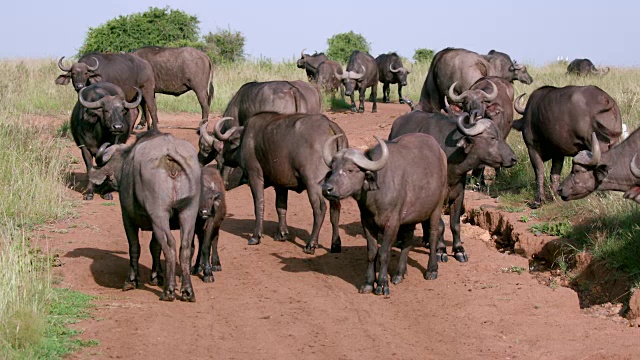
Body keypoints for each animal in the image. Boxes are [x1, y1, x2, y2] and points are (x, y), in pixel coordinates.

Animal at [89, 131, 200, 302]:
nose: (97, 189)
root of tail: (170, 154)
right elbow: (155, 246)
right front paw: (156, 276)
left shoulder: (127, 218)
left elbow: (135, 247)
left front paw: (131, 280)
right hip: (188, 211)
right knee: (186, 246)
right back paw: (187, 291)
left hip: (159, 214)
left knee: (170, 245)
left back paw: (168, 290)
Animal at [205, 114, 344, 255]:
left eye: (227, 142)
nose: (220, 155)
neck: (246, 139)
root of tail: (328, 124)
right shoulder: (281, 184)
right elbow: (280, 206)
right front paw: (281, 234)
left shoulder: (254, 176)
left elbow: (259, 204)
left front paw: (256, 237)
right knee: (335, 210)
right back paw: (335, 245)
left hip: (313, 185)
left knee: (320, 209)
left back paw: (310, 245)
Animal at [322, 134, 448, 296]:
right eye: (333, 169)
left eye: (350, 170)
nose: (327, 189)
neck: (376, 194)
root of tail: (441, 153)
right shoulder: (367, 222)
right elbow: (371, 253)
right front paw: (368, 283)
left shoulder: (392, 224)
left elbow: (383, 253)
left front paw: (382, 284)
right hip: (410, 218)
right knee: (407, 240)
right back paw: (399, 274)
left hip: (436, 208)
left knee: (433, 234)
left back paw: (432, 270)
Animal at [388, 111, 516, 260]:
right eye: (492, 137)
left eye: (501, 136)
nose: (514, 158)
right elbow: (440, 225)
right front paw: (441, 250)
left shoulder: (459, 195)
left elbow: (455, 224)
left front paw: (459, 250)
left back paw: (426, 239)